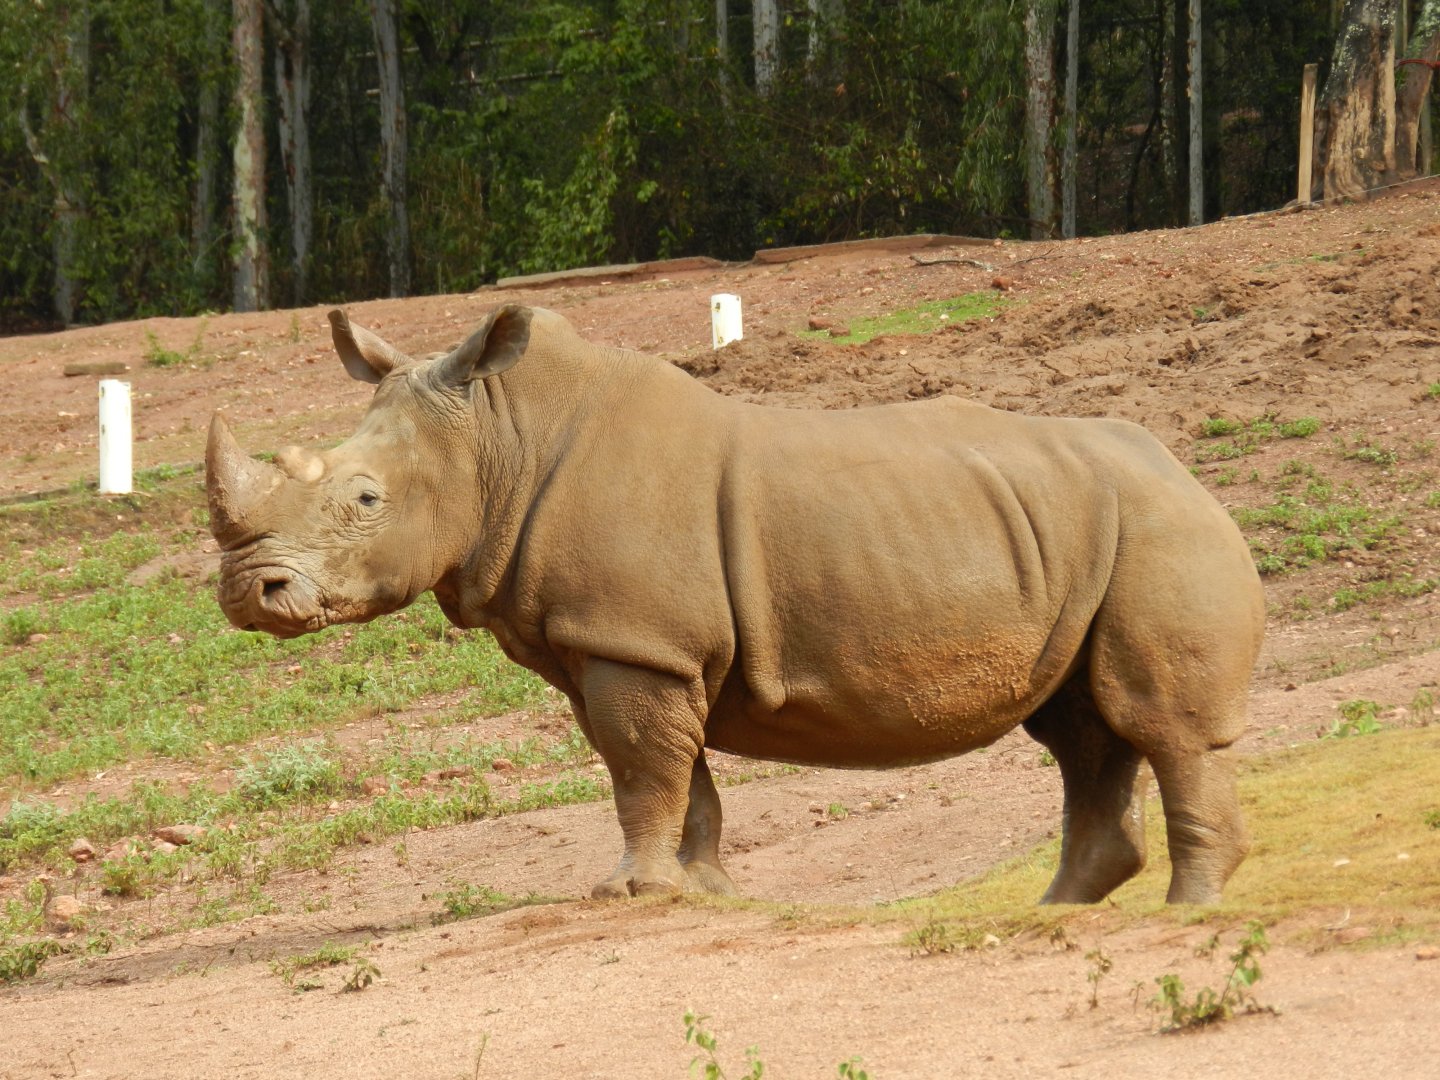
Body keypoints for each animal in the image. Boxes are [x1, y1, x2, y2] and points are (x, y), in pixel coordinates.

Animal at [206, 303, 1265, 905]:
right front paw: (706, 889)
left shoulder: (636, 643)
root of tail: (1193, 474)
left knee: (1156, 725)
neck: (500, 438)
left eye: (365, 500)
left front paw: (632, 893)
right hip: (1092, 535)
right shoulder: (633, 647)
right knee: (1084, 732)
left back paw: (1191, 913)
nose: (248, 593)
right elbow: (678, 777)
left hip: (1161, 533)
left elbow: (644, 771)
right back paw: (1059, 913)